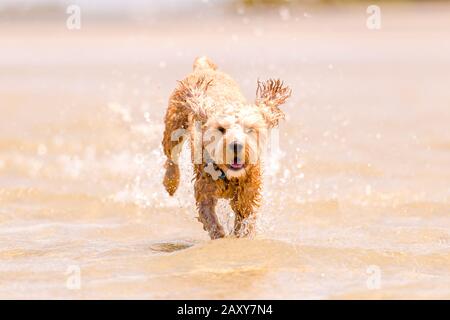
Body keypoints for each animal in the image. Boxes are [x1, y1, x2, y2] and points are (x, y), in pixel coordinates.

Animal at [162, 56, 292, 239]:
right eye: (221, 129)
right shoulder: (204, 192)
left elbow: (244, 221)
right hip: (174, 121)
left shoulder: (247, 195)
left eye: (249, 129)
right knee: (171, 155)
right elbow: (210, 218)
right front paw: (221, 238)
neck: (229, 176)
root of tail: (205, 69)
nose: (236, 145)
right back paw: (171, 182)